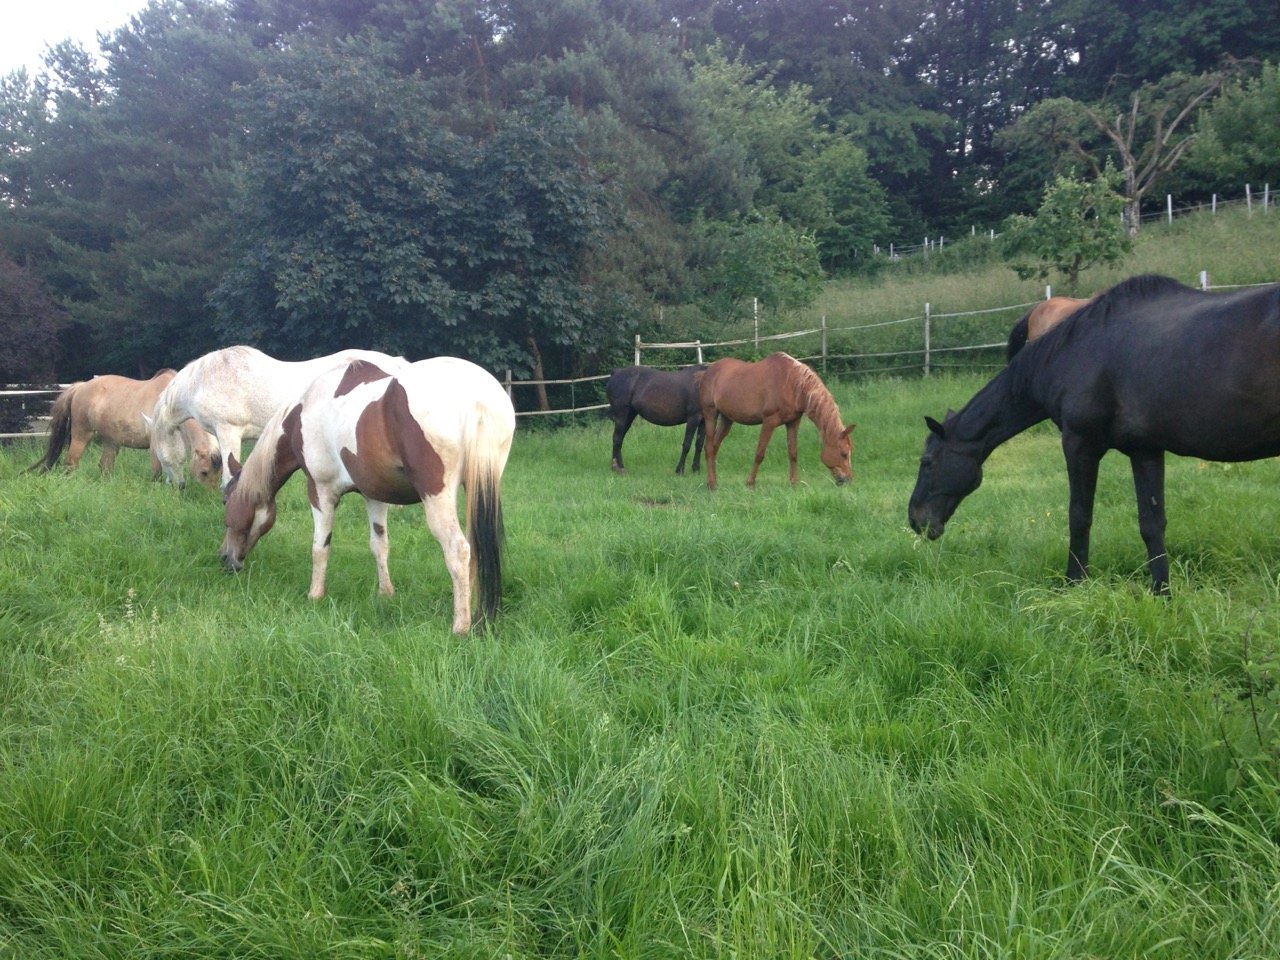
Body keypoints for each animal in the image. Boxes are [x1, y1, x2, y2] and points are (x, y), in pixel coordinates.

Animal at [28, 371, 221, 487]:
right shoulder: (154, 444)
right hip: (82, 435)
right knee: (71, 462)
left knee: (105, 466)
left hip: (111, 442)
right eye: (204, 472)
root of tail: (80, 386)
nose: (209, 496)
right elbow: (157, 471)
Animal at [220, 356, 515, 635]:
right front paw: (386, 593)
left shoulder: (320, 491)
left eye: (226, 503)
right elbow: (379, 545)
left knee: (458, 550)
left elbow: (320, 547)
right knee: (475, 551)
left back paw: (460, 627)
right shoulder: (374, 496)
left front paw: (315, 595)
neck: (304, 412)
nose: (225, 558)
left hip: (438, 498)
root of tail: (477, 398)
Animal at [698, 352, 854, 490]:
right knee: (709, 447)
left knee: (715, 447)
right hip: (711, 414)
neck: (793, 384)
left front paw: (793, 484)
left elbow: (793, 453)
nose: (848, 479)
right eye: (844, 454)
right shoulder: (769, 421)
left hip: (727, 419)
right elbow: (759, 453)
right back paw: (712, 485)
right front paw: (750, 483)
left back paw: (713, 482)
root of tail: (708, 370)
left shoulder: (793, 422)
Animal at [909, 274, 1280, 595]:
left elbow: (1079, 516)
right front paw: (1161, 593)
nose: (915, 520)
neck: (1076, 352)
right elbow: (1152, 523)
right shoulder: (1145, 450)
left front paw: (1074, 583)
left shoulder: (1080, 444)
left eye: (927, 461)